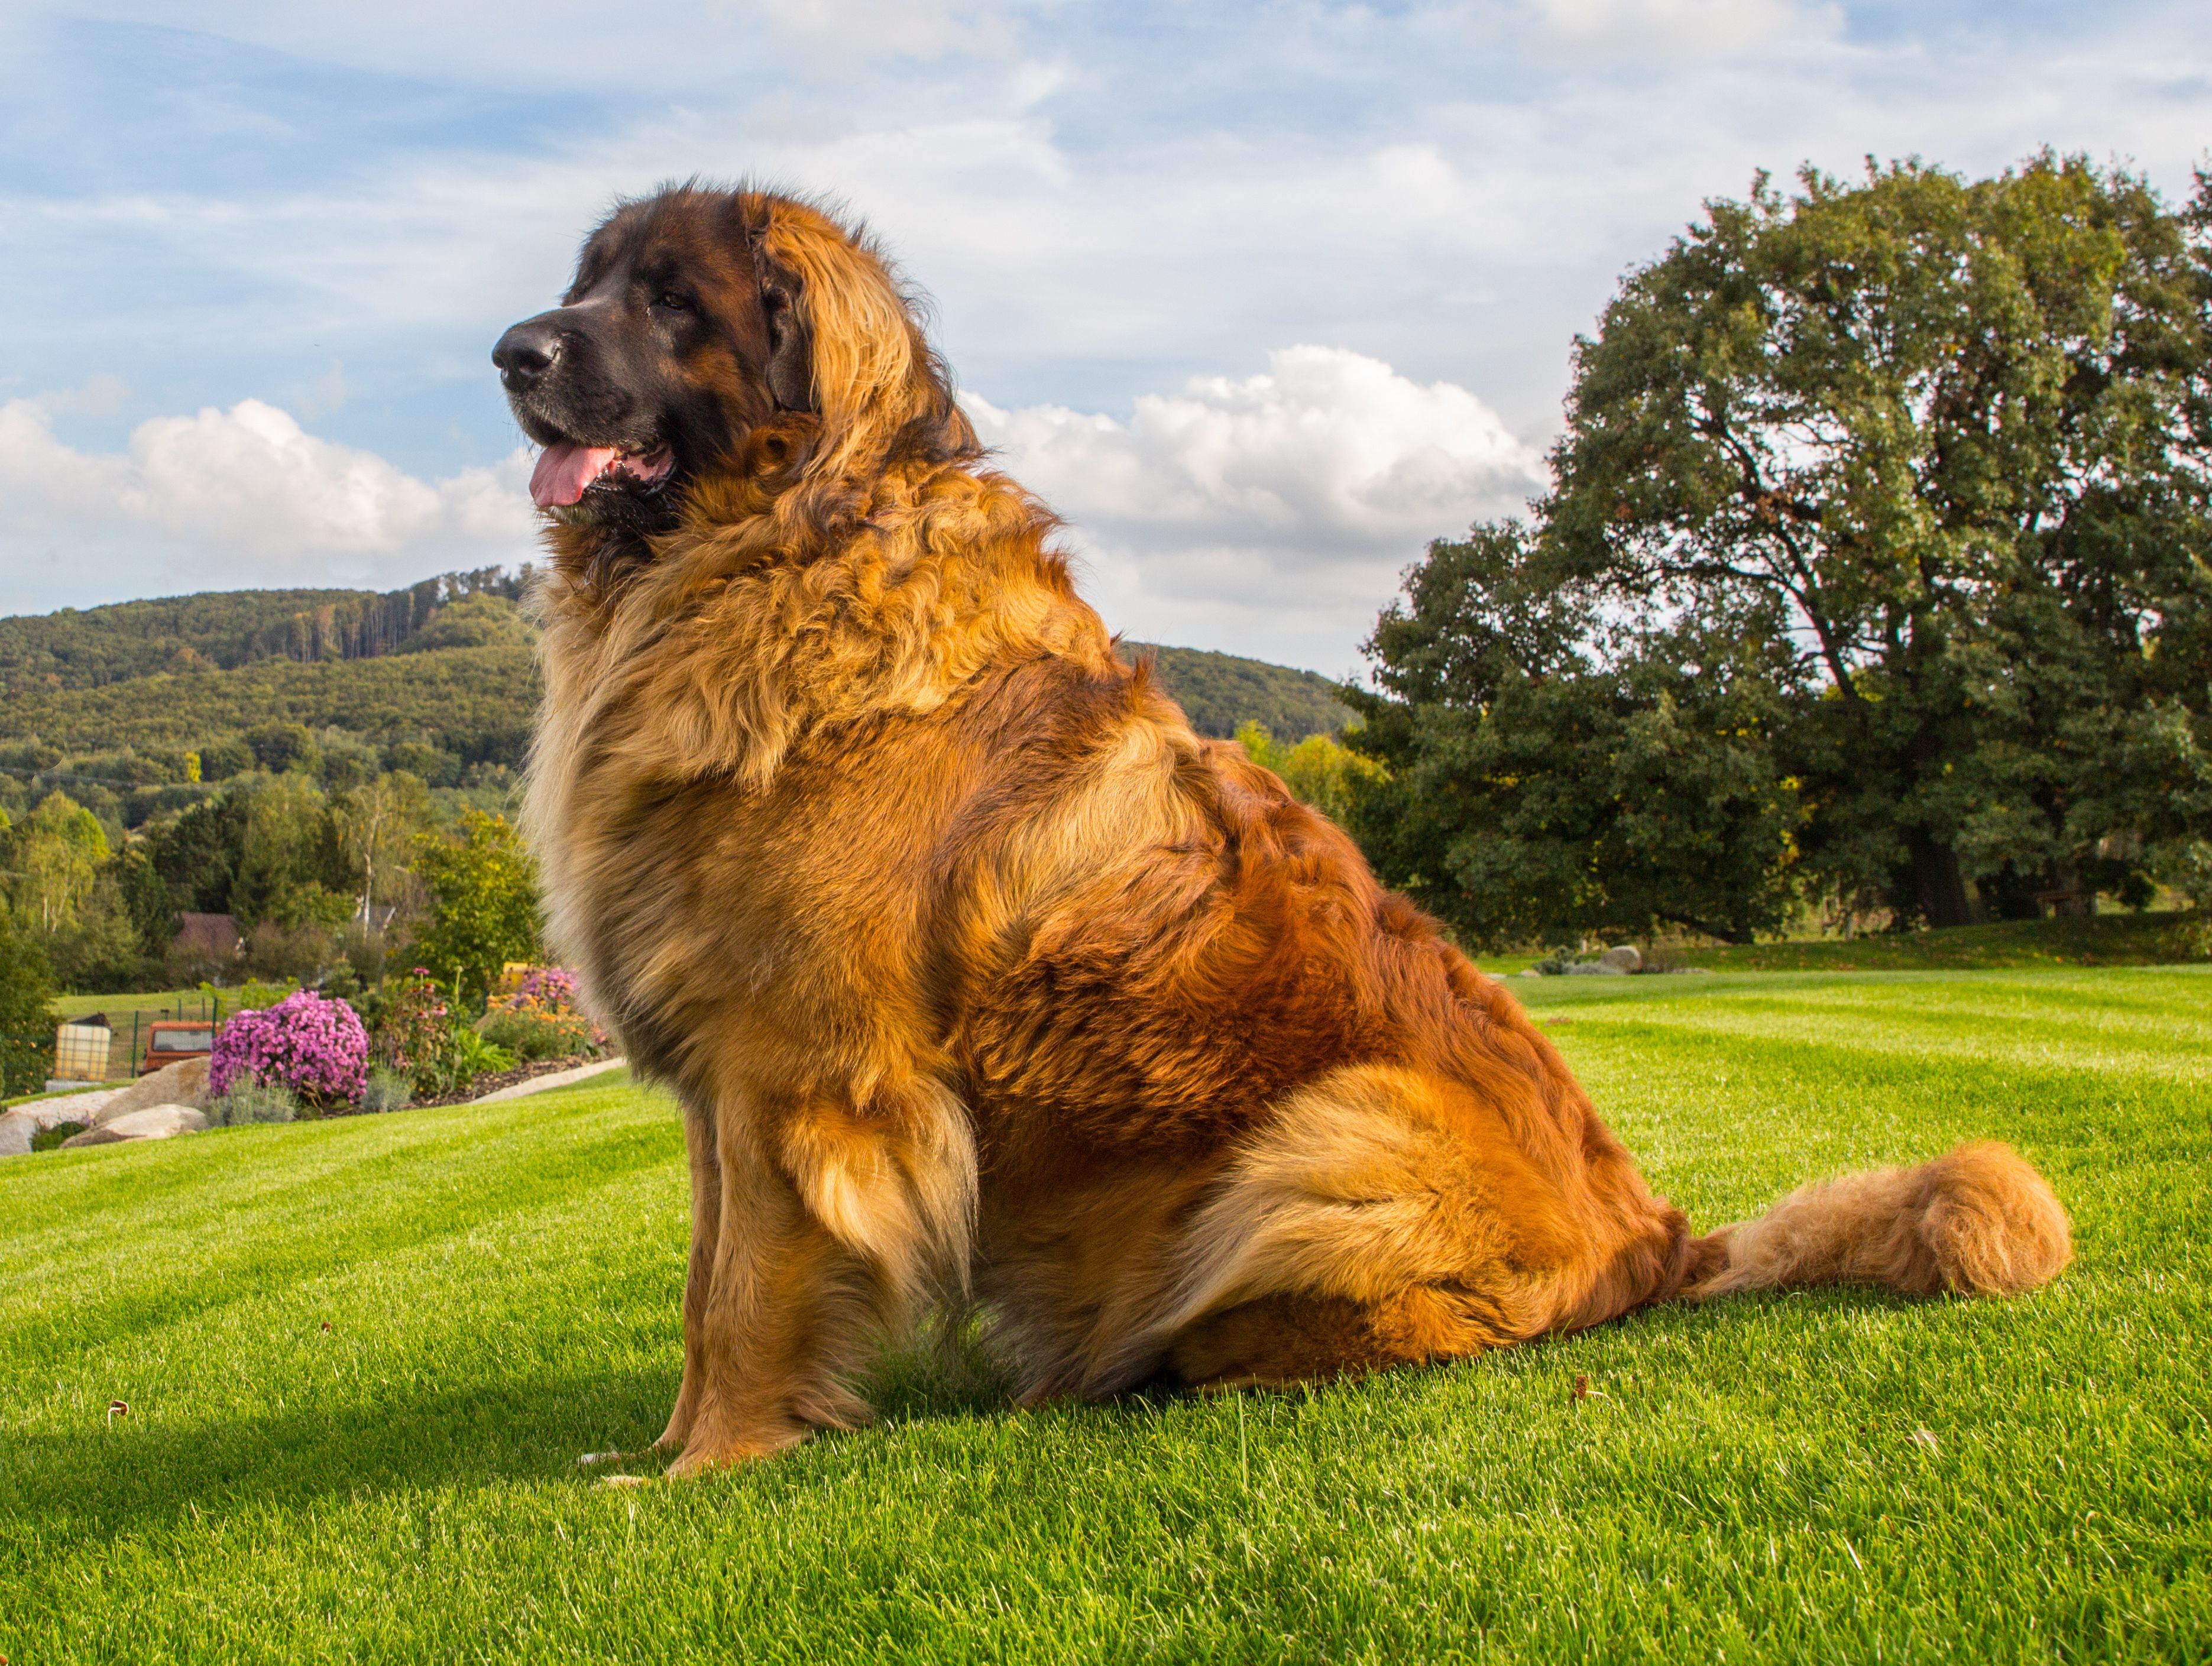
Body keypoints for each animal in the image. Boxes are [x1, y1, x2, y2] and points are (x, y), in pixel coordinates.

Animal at [493, 181, 2061, 1477]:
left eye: (670, 302)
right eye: (588, 283)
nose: (512, 352)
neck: (771, 550)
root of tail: (1659, 1239)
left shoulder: (797, 1068)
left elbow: (748, 1294)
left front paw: (707, 1467)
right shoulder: (727, 1083)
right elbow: (702, 1284)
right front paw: (662, 1446)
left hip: (1327, 1133)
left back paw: (1170, 1356)